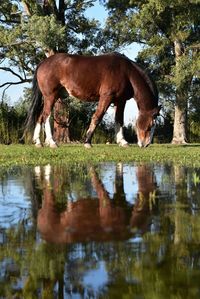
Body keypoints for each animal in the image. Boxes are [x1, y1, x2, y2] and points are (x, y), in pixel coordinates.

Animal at [24, 53, 161, 149]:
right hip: (50, 96)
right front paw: (87, 142)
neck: (126, 73)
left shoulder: (120, 101)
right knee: (47, 116)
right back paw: (52, 142)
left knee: (40, 116)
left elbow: (119, 120)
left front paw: (123, 142)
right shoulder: (106, 97)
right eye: (151, 125)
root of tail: (43, 63)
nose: (146, 144)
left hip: (51, 97)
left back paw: (38, 142)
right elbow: (97, 117)